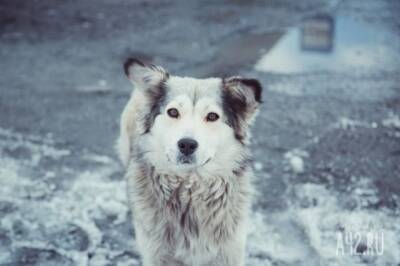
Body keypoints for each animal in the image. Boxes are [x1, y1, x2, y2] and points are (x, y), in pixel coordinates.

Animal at [116, 58, 262, 266]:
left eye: (212, 116)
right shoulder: (157, 255)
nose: (186, 144)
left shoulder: (229, 253)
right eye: (173, 112)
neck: (189, 191)